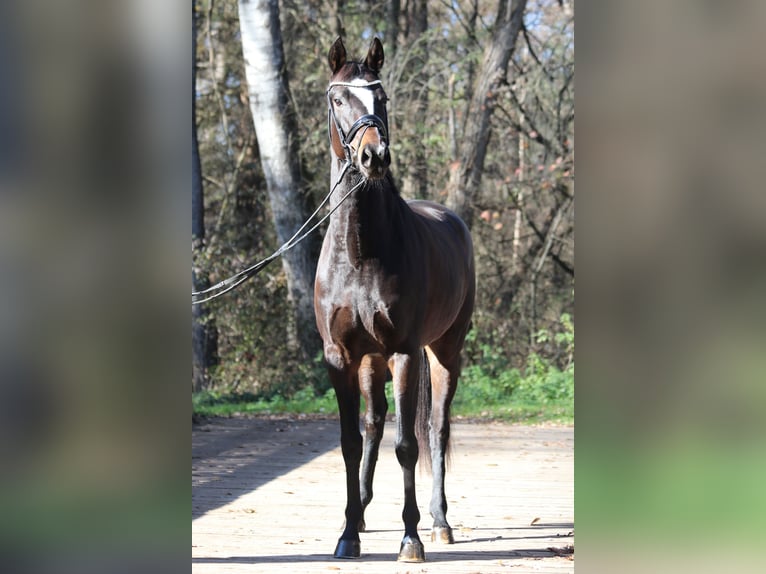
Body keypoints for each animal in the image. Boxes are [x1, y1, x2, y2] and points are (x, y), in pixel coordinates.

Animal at [314, 36, 474, 564]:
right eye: (338, 98)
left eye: (381, 97)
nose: (374, 156)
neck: (361, 250)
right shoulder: (341, 357)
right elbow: (350, 441)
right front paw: (347, 534)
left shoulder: (405, 352)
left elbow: (408, 445)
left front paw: (411, 538)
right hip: (370, 362)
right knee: (374, 423)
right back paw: (362, 511)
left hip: (444, 352)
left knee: (437, 430)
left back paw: (440, 521)